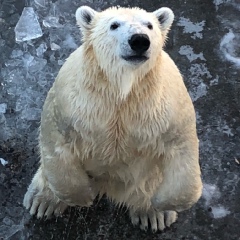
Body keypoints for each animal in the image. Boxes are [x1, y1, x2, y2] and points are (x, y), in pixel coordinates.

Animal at [23, 5, 202, 231]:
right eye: (114, 25)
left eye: (149, 25)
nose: (139, 40)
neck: (122, 91)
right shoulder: (72, 103)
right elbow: (56, 140)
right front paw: (83, 197)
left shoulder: (164, 107)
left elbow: (182, 145)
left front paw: (160, 206)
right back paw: (42, 202)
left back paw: (151, 215)